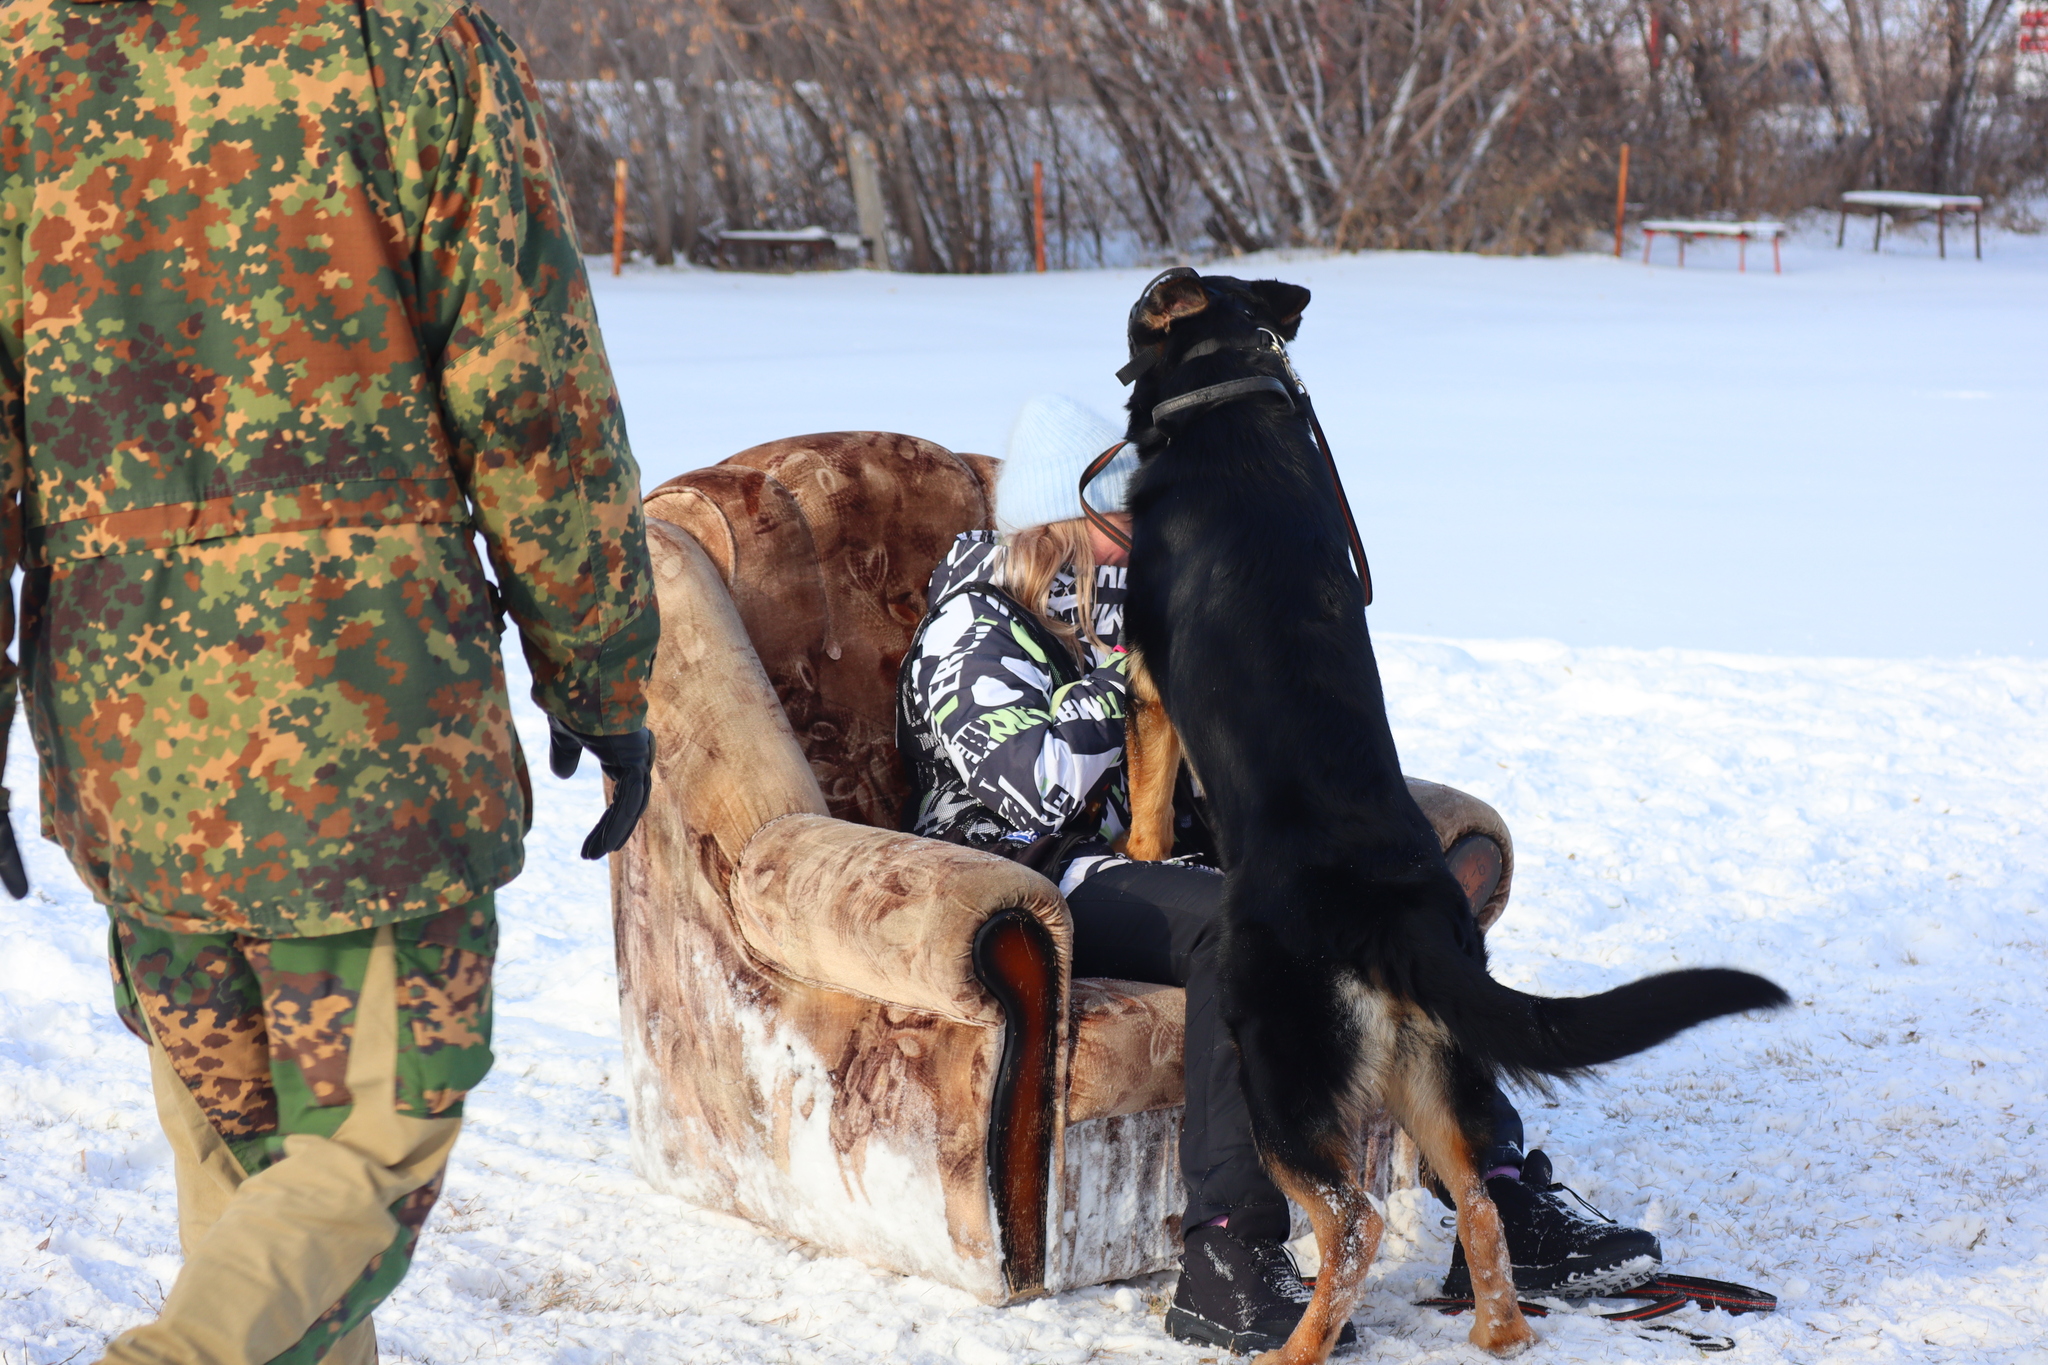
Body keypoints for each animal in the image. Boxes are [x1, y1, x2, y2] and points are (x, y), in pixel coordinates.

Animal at [1105, 272, 1794, 1358]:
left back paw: (1298, 1347)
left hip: (1281, 1067)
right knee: (1475, 1202)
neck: (1227, 392)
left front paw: (1140, 846)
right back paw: (1498, 1334)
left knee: (1352, 1223)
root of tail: (1398, 915)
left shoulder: (1145, 687)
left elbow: (1141, 816)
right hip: (1430, 1074)